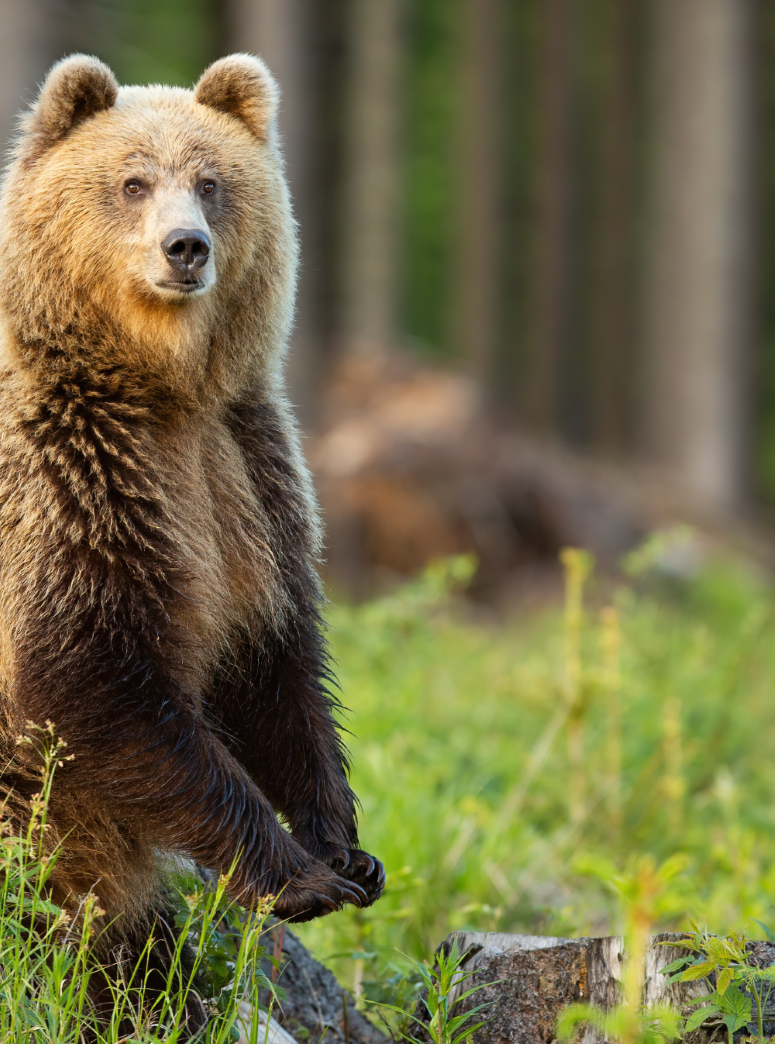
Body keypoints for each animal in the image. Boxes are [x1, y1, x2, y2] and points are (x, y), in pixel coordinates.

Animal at [0, 52, 384, 1027]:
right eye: (132, 181)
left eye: (211, 183)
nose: (186, 247)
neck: (158, 390)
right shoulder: (73, 484)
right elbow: (90, 676)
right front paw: (297, 877)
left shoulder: (244, 479)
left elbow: (274, 668)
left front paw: (346, 847)